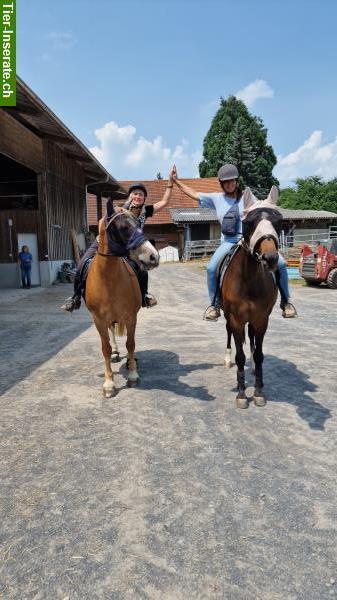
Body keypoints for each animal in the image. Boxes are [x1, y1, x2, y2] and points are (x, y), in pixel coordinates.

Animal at [83, 207, 158, 398]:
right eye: (123, 228)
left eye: (139, 224)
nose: (153, 256)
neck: (108, 278)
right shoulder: (98, 320)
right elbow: (105, 349)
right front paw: (109, 384)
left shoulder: (131, 317)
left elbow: (130, 344)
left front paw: (132, 375)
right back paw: (116, 353)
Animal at [222, 186, 282, 408]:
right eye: (249, 223)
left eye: (278, 222)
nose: (270, 258)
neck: (249, 281)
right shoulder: (236, 320)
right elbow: (240, 356)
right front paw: (241, 393)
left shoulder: (261, 320)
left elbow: (258, 355)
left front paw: (258, 391)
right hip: (228, 317)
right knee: (229, 334)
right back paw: (227, 358)